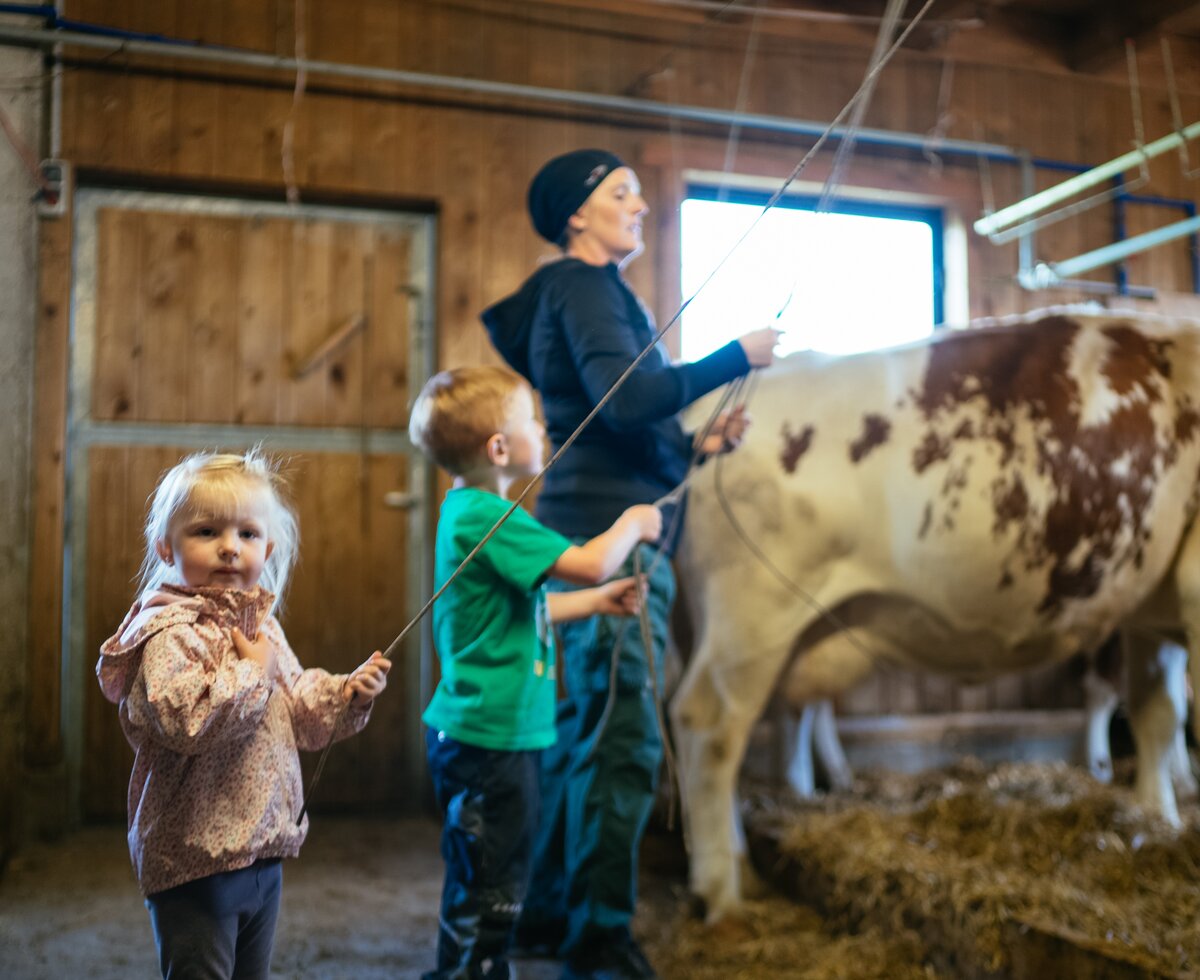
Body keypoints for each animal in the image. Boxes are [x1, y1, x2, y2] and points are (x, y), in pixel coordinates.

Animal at [672, 309, 1200, 921]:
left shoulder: (1152, 613)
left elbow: (1157, 714)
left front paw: (1156, 819)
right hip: (751, 620)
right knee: (708, 729)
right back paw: (723, 891)